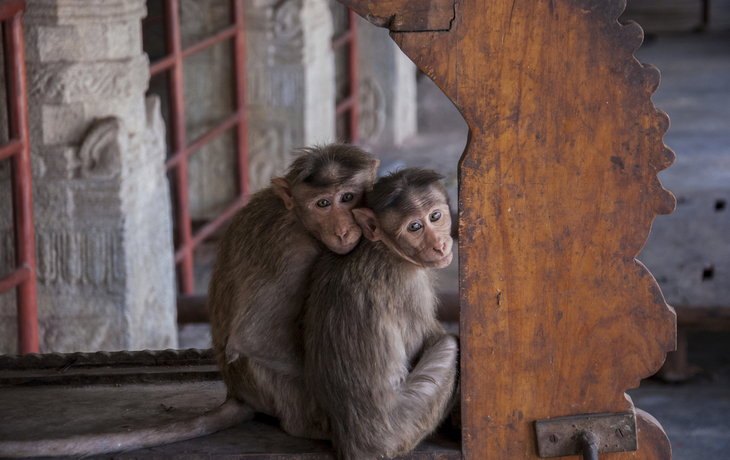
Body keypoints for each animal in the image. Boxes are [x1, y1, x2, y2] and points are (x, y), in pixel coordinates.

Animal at [208, 144, 380, 440]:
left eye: (347, 197)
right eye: (323, 204)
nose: (342, 231)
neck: (299, 220)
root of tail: (235, 392)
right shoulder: (292, 252)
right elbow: (252, 338)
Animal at [303, 167, 459, 460]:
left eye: (435, 216)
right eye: (414, 227)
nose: (440, 246)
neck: (383, 248)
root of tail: (354, 445)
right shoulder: (412, 287)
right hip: (405, 425)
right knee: (449, 344)